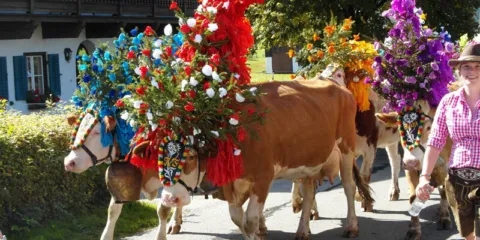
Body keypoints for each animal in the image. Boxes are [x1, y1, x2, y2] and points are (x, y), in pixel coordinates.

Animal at [158, 79, 376, 239]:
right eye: (158, 157)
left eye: (191, 156)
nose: (169, 198)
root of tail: (337, 85)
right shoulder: (231, 184)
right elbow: (238, 220)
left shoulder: (263, 177)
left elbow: (250, 221)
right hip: (309, 159)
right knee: (309, 191)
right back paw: (302, 231)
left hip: (346, 147)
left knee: (349, 187)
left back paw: (351, 227)